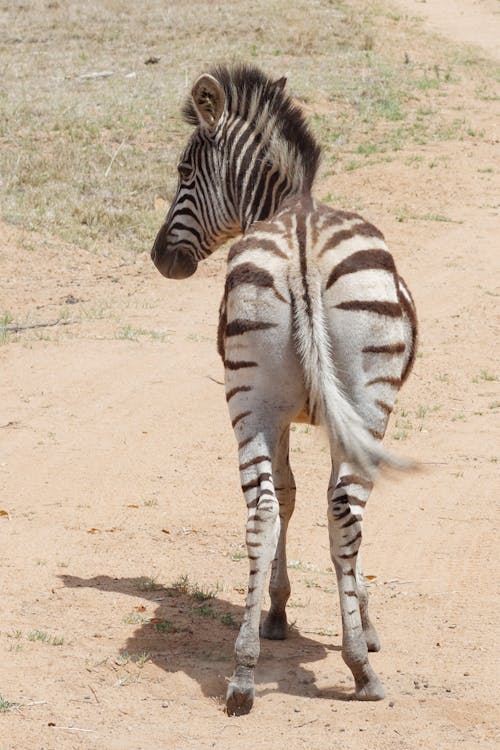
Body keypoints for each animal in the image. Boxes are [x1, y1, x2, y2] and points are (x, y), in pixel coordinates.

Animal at [151, 67, 418, 720]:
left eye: (184, 172)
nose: (160, 258)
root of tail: (300, 235)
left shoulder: (289, 417)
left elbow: (292, 497)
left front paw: (280, 613)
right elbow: (317, 504)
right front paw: (357, 619)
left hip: (252, 403)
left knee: (263, 511)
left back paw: (244, 674)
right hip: (362, 404)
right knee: (343, 511)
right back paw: (360, 668)